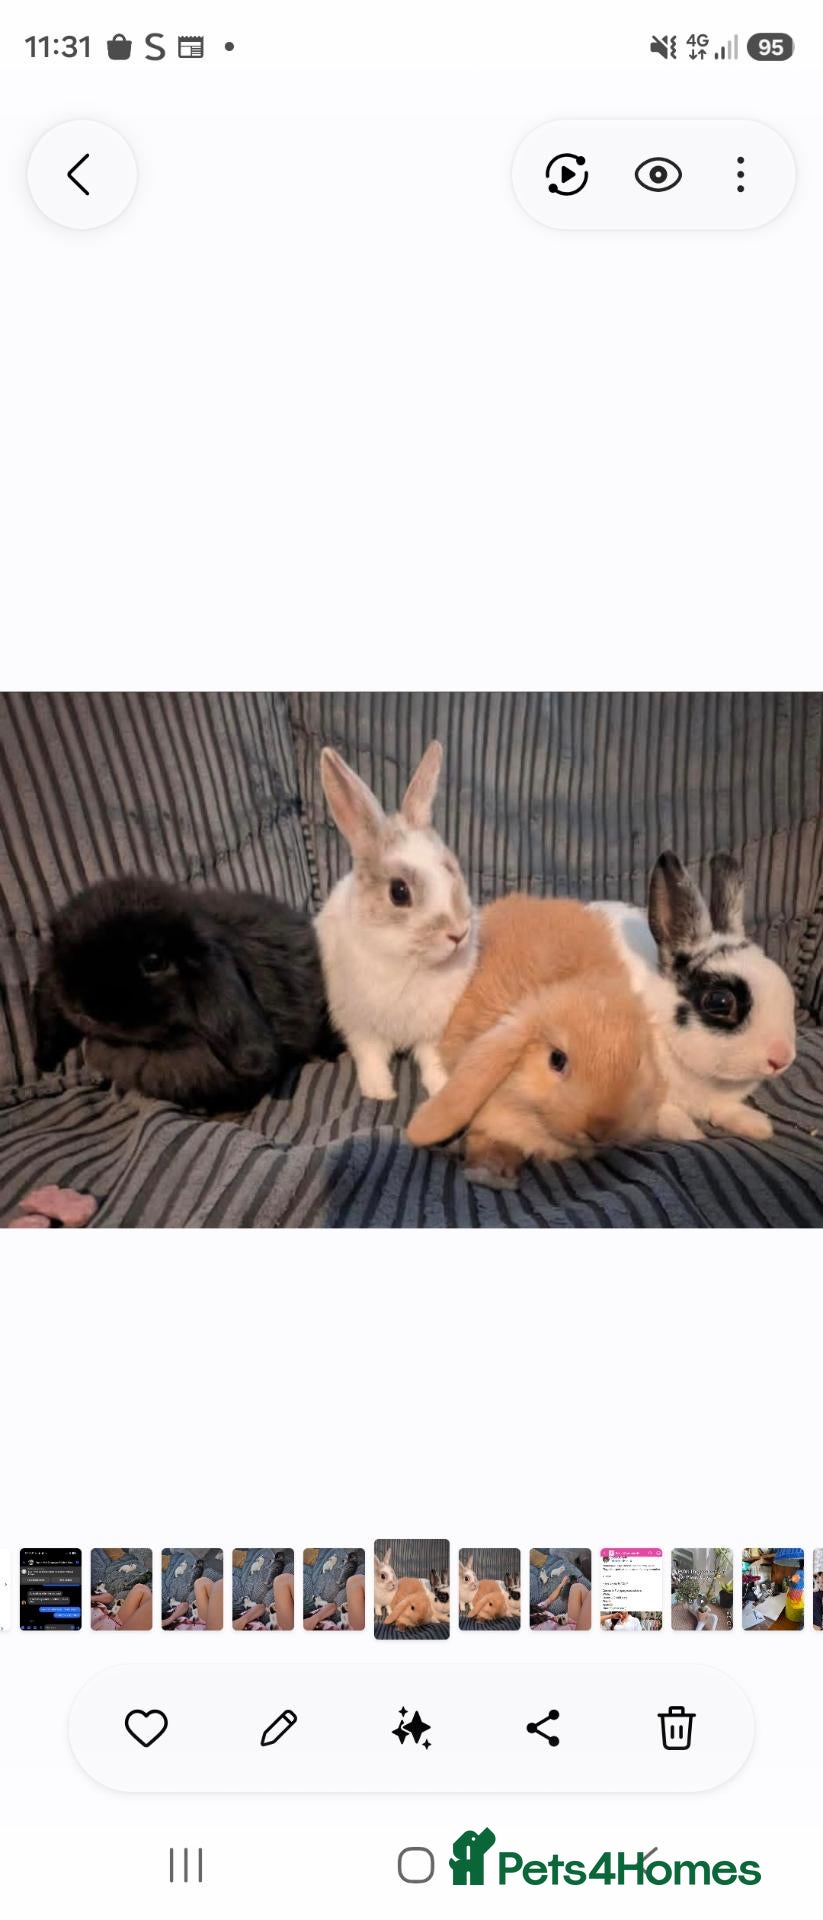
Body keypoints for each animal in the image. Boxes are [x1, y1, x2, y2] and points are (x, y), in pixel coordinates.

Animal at [316, 741, 477, 1101]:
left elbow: (431, 1059)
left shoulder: (433, 1029)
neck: (409, 961)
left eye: (450, 868)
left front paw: (440, 1087)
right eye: (399, 892)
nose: (458, 933)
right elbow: (371, 1057)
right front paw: (380, 1093)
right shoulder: (361, 1025)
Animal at [591, 851, 797, 1143]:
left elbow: (725, 1109)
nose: (782, 1058)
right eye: (720, 1002)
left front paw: (757, 1125)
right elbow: (666, 1115)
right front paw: (691, 1134)